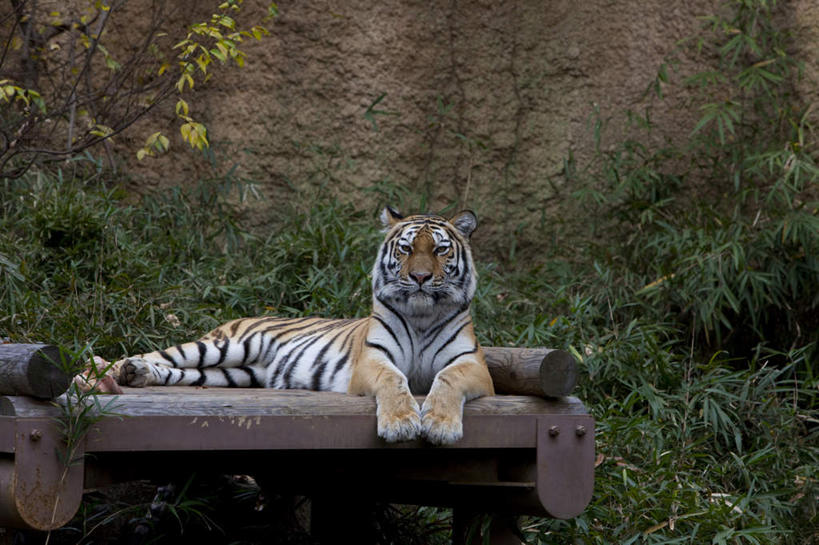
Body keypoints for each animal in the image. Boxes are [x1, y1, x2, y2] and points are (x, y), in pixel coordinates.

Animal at [112, 206, 496, 444]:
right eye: (405, 249)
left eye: (440, 250)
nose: (419, 277)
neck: (421, 316)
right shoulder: (373, 359)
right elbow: (394, 379)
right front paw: (402, 424)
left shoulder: (472, 364)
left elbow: (446, 379)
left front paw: (440, 427)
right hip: (226, 346)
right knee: (164, 354)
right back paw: (115, 371)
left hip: (234, 373)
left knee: (183, 372)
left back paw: (137, 374)